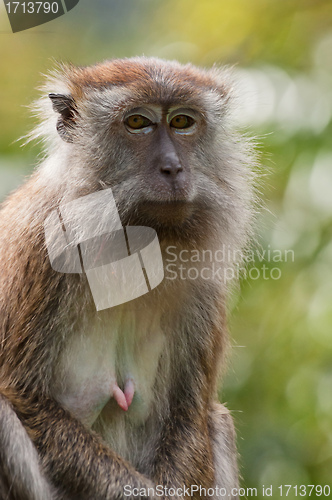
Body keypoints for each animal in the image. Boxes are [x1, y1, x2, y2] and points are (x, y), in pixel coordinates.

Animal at [0, 56, 254, 498]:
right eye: (138, 122)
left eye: (182, 121)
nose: (173, 167)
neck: (129, 241)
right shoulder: (39, 249)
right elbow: (21, 393)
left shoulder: (204, 284)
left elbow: (190, 414)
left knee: (216, 419)